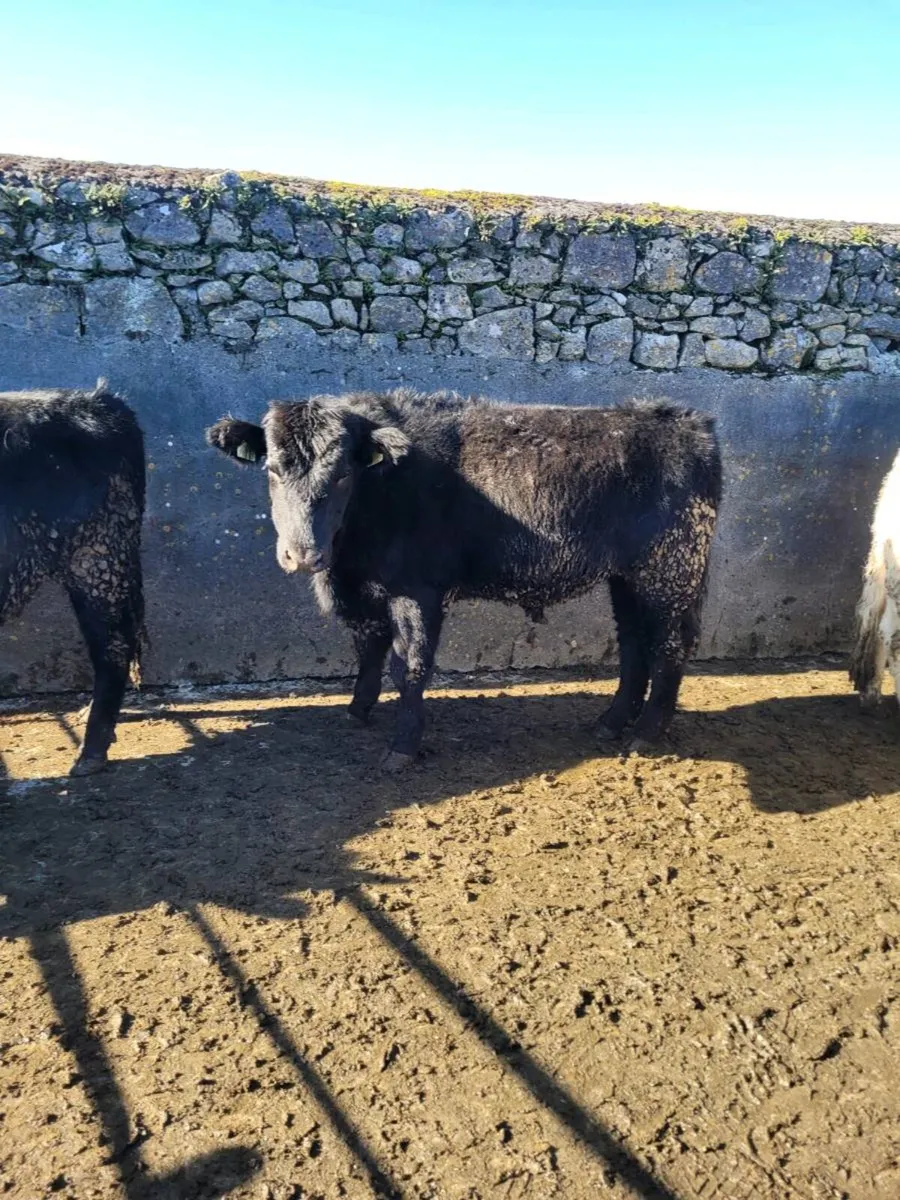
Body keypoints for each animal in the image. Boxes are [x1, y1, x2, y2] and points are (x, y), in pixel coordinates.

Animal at [208, 389, 722, 770]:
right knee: (634, 644)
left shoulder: (417, 592)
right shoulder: (370, 592)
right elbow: (369, 649)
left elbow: (409, 665)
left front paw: (403, 747)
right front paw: (357, 711)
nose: (302, 555)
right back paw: (610, 723)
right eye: (273, 469)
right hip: (627, 578)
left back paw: (644, 735)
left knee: (670, 646)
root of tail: (688, 421)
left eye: (342, 475)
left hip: (670, 570)